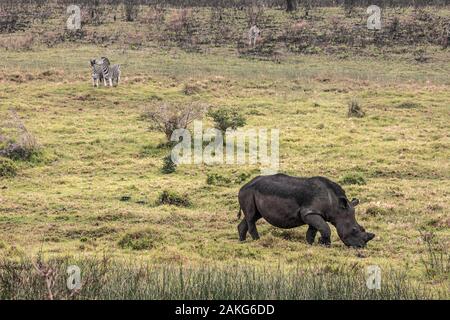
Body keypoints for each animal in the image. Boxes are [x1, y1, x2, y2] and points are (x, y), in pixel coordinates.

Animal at [237, 175, 374, 248]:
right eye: (354, 230)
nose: (361, 247)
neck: (336, 206)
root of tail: (244, 185)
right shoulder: (309, 212)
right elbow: (325, 228)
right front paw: (326, 245)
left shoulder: (314, 213)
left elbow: (312, 231)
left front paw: (311, 245)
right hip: (248, 192)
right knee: (251, 216)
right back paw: (257, 241)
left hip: (251, 192)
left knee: (253, 216)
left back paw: (242, 242)